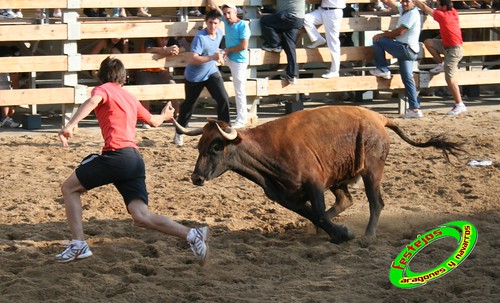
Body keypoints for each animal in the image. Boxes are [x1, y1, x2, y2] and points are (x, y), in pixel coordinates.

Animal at [173, 107, 464, 245]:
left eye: (215, 146)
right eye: (199, 146)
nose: (196, 178)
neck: (266, 153)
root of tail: (379, 118)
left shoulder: (314, 184)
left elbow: (320, 213)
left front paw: (344, 233)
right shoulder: (286, 197)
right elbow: (314, 214)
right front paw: (335, 231)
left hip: (372, 170)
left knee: (376, 202)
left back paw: (369, 235)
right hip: (339, 178)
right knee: (345, 200)